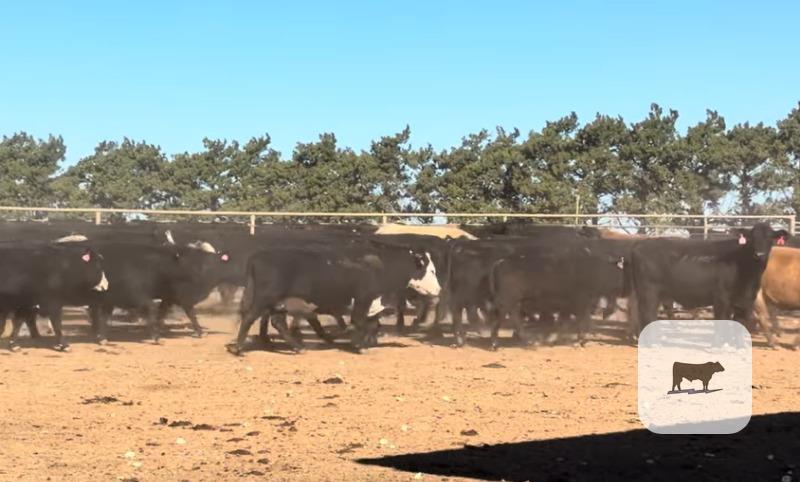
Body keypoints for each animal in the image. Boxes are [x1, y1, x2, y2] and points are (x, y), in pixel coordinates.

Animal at [229, 242, 441, 354]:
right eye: (431, 270)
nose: (438, 290)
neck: (380, 266)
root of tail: (258, 257)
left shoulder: (373, 304)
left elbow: (373, 325)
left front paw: (364, 342)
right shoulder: (363, 300)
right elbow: (360, 322)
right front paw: (359, 345)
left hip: (280, 303)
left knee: (277, 323)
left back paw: (298, 347)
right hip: (264, 299)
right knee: (249, 318)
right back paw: (238, 348)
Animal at [626, 222, 788, 336]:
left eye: (770, 238)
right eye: (752, 238)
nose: (759, 254)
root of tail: (639, 245)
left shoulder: (744, 301)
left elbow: (739, 323)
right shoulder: (721, 298)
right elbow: (722, 321)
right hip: (649, 292)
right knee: (648, 314)